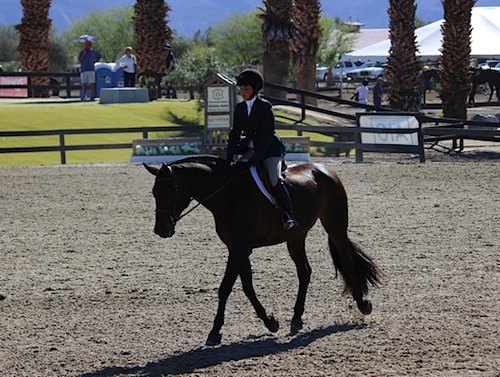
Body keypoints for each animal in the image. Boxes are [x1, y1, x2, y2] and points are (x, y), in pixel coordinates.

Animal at [145, 156, 378, 346]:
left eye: (171, 192)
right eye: (154, 193)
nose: (161, 230)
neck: (230, 195)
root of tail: (324, 169)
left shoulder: (240, 248)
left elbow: (225, 287)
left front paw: (214, 332)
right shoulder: (238, 248)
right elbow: (247, 286)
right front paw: (270, 322)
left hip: (335, 224)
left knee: (346, 259)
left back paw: (363, 304)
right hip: (295, 237)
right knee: (305, 271)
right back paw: (296, 319)